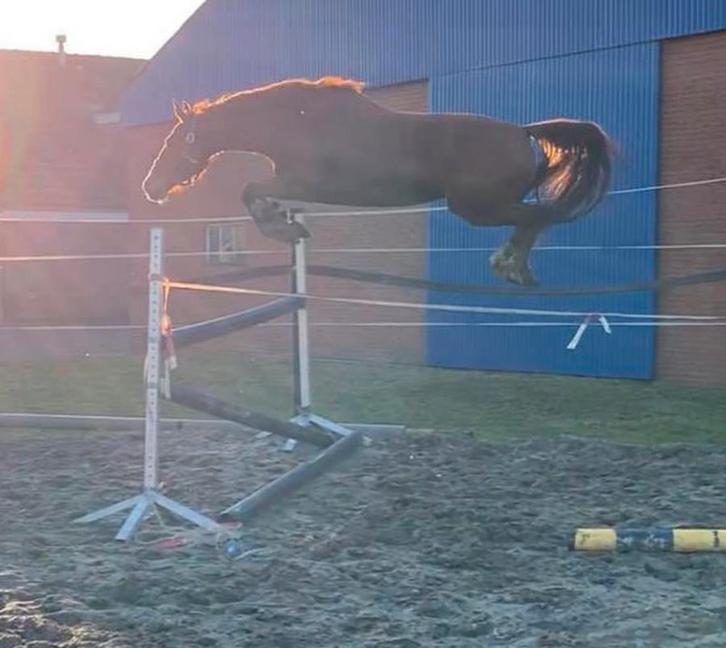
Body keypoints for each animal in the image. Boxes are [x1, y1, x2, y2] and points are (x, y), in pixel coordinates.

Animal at [142, 76, 613, 285]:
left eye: (174, 140)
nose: (150, 186)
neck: (295, 123)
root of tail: (522, 132)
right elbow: (257, 195)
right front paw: (285, 223)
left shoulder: (303, 184)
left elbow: (251, 192)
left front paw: (284, 228)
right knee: (535, 217)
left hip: (477, 207)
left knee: (535, 216)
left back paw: (511, 266)